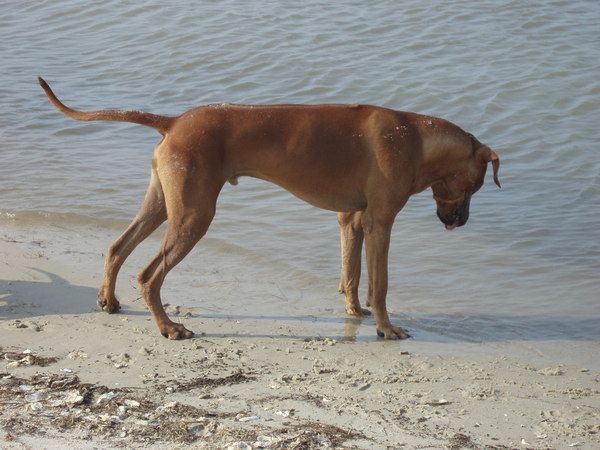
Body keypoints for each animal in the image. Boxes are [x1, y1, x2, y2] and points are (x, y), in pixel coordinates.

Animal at [39, 77, 500, 340]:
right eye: (476, 186)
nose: (459, 221)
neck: (415, 138)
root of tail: (175, 121)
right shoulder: (380, 222)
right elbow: (380, 284)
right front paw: (386, 329)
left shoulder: (351, 219)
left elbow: (351, 274)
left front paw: (354, 312)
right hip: (193, 215)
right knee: (149, 275)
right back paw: (169, 327)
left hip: (164, 204)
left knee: (118, 246)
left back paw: (109, 300)